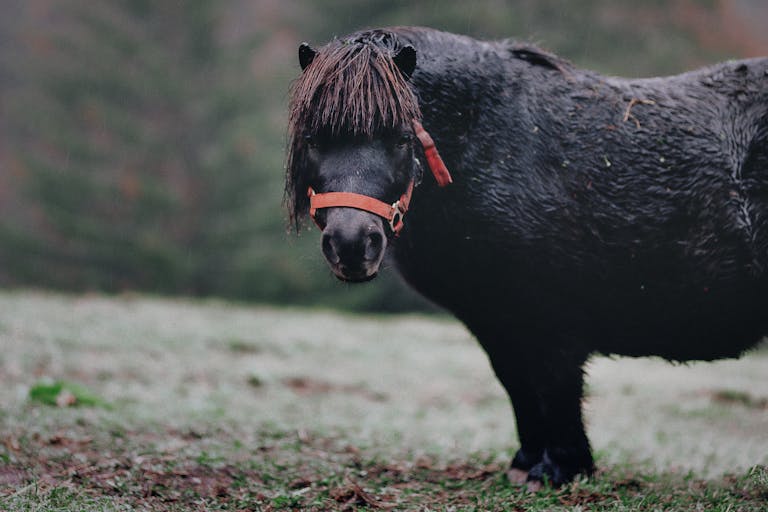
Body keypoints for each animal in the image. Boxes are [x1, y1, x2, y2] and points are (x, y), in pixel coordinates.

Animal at [285, 27, 768, 486]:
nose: (351, 244)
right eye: (312, 138)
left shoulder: (554, 323)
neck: (493, 144)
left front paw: (561, 470)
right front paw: (527, 465)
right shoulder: (498, 321)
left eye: (402, 138)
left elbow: (556, 389)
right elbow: (518, 387)